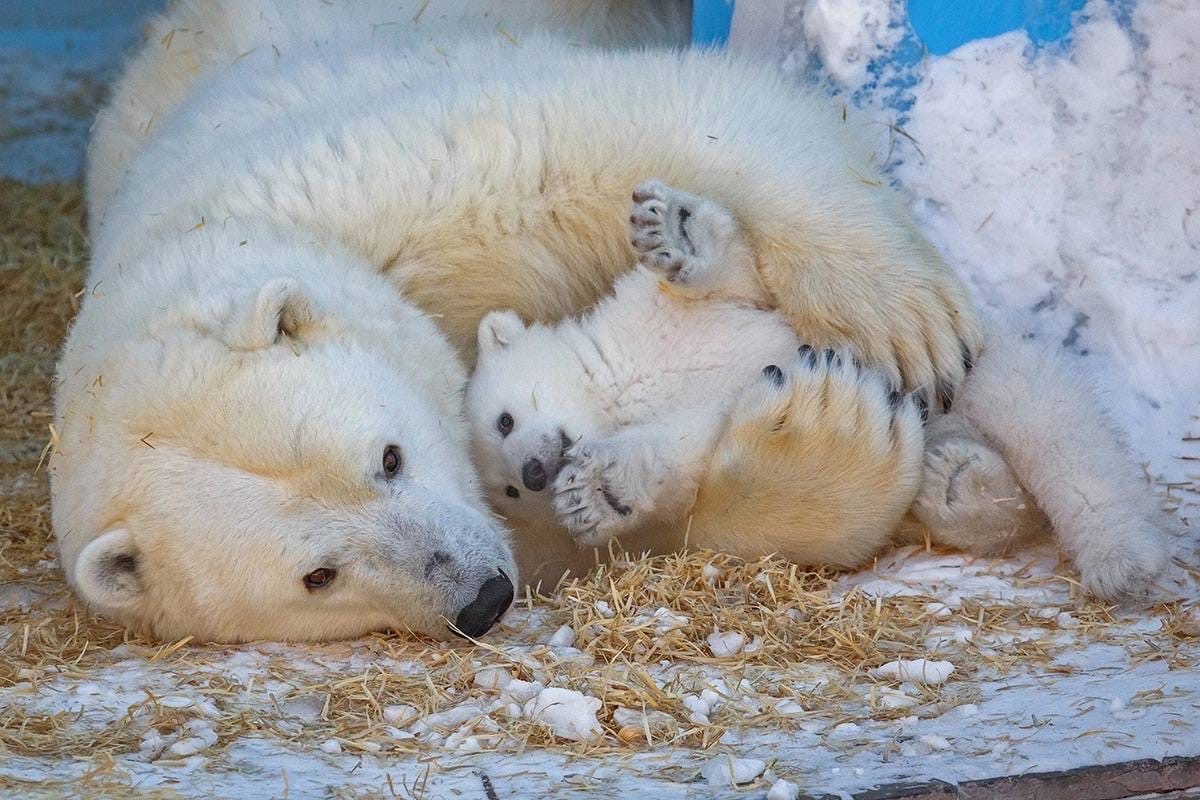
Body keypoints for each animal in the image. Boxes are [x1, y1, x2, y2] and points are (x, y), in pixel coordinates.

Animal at [58, 0, 1171, 642]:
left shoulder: (382, 166)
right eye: (317, 575)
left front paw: (901, 320)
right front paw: (829, 437)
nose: (480, 597)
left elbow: (643, 120)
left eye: (387, 455)